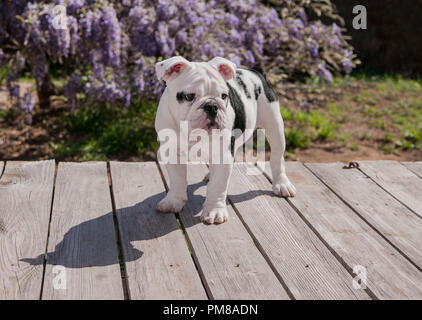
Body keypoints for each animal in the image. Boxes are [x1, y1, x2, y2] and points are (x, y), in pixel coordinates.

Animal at [153, 55, 296, 225]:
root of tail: (256, 72)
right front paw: (173, 201)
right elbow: (177, 180)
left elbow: (218, 184)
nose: (212, 106)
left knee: (277, 157)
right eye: (189, 96)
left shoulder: (223, 154)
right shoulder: (171, 152)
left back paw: (282, 184)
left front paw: (214, 210)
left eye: (223, 96)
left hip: (274, 126)